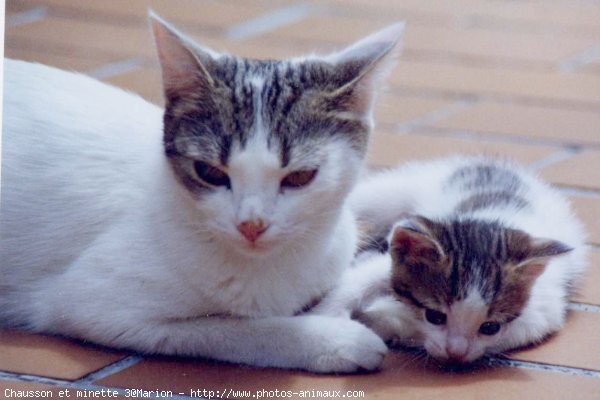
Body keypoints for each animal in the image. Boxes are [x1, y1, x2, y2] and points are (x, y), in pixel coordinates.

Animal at [0, 14, 406, 374]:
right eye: (210, 173)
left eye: (300, 177)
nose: (252, 225)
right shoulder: (93, 304)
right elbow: (229, 328)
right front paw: (330, 338)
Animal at [314, 156, 584, 366]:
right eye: (435, 316)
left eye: (490, 327)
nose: (456, 353)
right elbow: (361, 280)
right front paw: (325, 321)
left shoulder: (541, 312)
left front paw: (379, 320)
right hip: (398, 189)